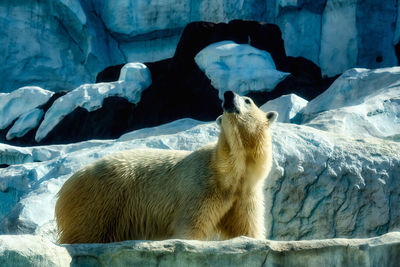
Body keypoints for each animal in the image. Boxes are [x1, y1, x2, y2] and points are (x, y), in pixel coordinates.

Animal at [54, 91, 276, 244]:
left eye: (248, 100)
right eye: (224, 103)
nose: (228, 95)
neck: (227, 172)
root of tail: (66, 185)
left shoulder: (244, 195)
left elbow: (247, 229)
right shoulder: (200, 190)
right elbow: (190, 228)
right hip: (100, 201)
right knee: (86, 232)